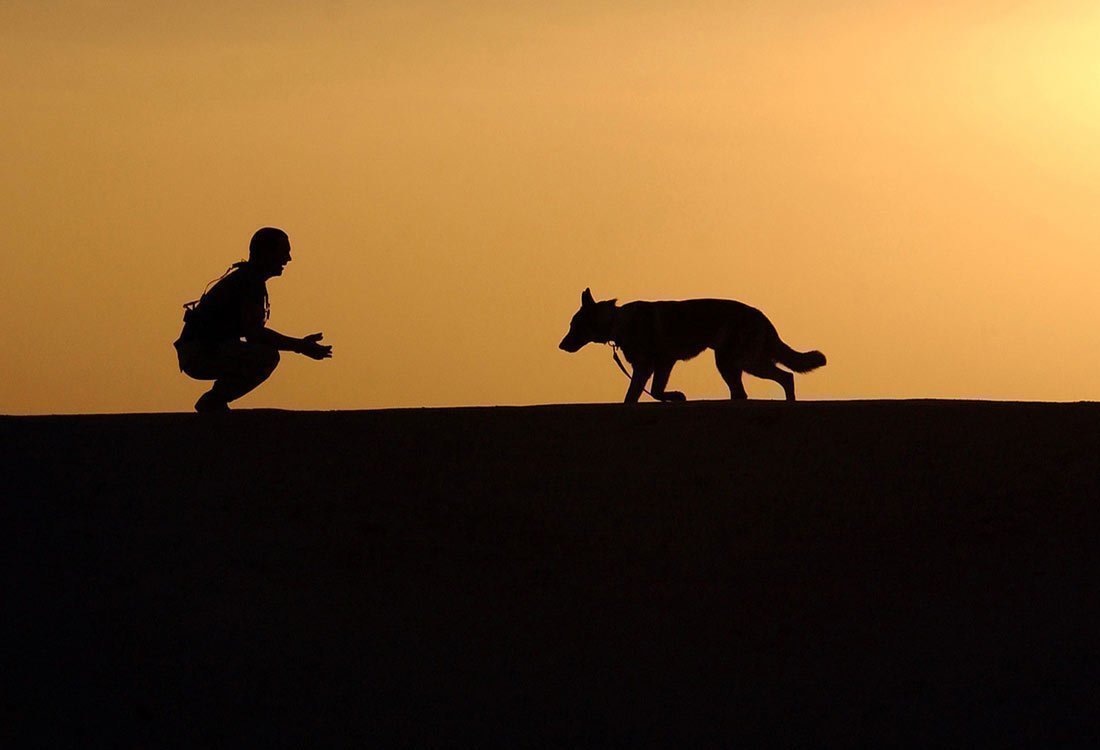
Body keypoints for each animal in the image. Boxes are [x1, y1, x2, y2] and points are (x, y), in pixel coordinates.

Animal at [558, 288, 827, 402]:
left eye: (574, 325)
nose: (561, 346)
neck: (617, 321)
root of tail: (762, 316)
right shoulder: (662, 365)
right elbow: (652, 392)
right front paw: (674, 397)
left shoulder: (648, 367)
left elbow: (635, 395)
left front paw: (674, 396)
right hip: (738, 363)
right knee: (762, 385)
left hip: (739, 362)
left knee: (782, 379)